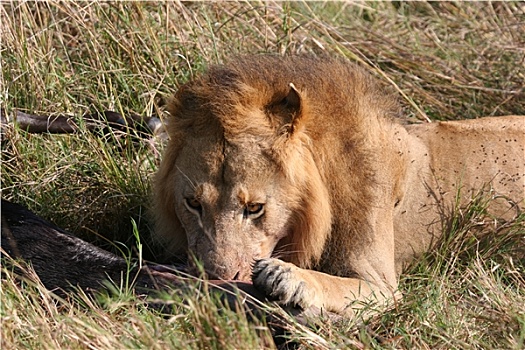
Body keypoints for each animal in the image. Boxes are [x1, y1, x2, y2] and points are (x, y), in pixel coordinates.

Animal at [151, 56, 520, 316]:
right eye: (193, 204)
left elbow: (331, 282)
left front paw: (286, 276)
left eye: (254, 208)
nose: (216, 277)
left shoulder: (381, 286)